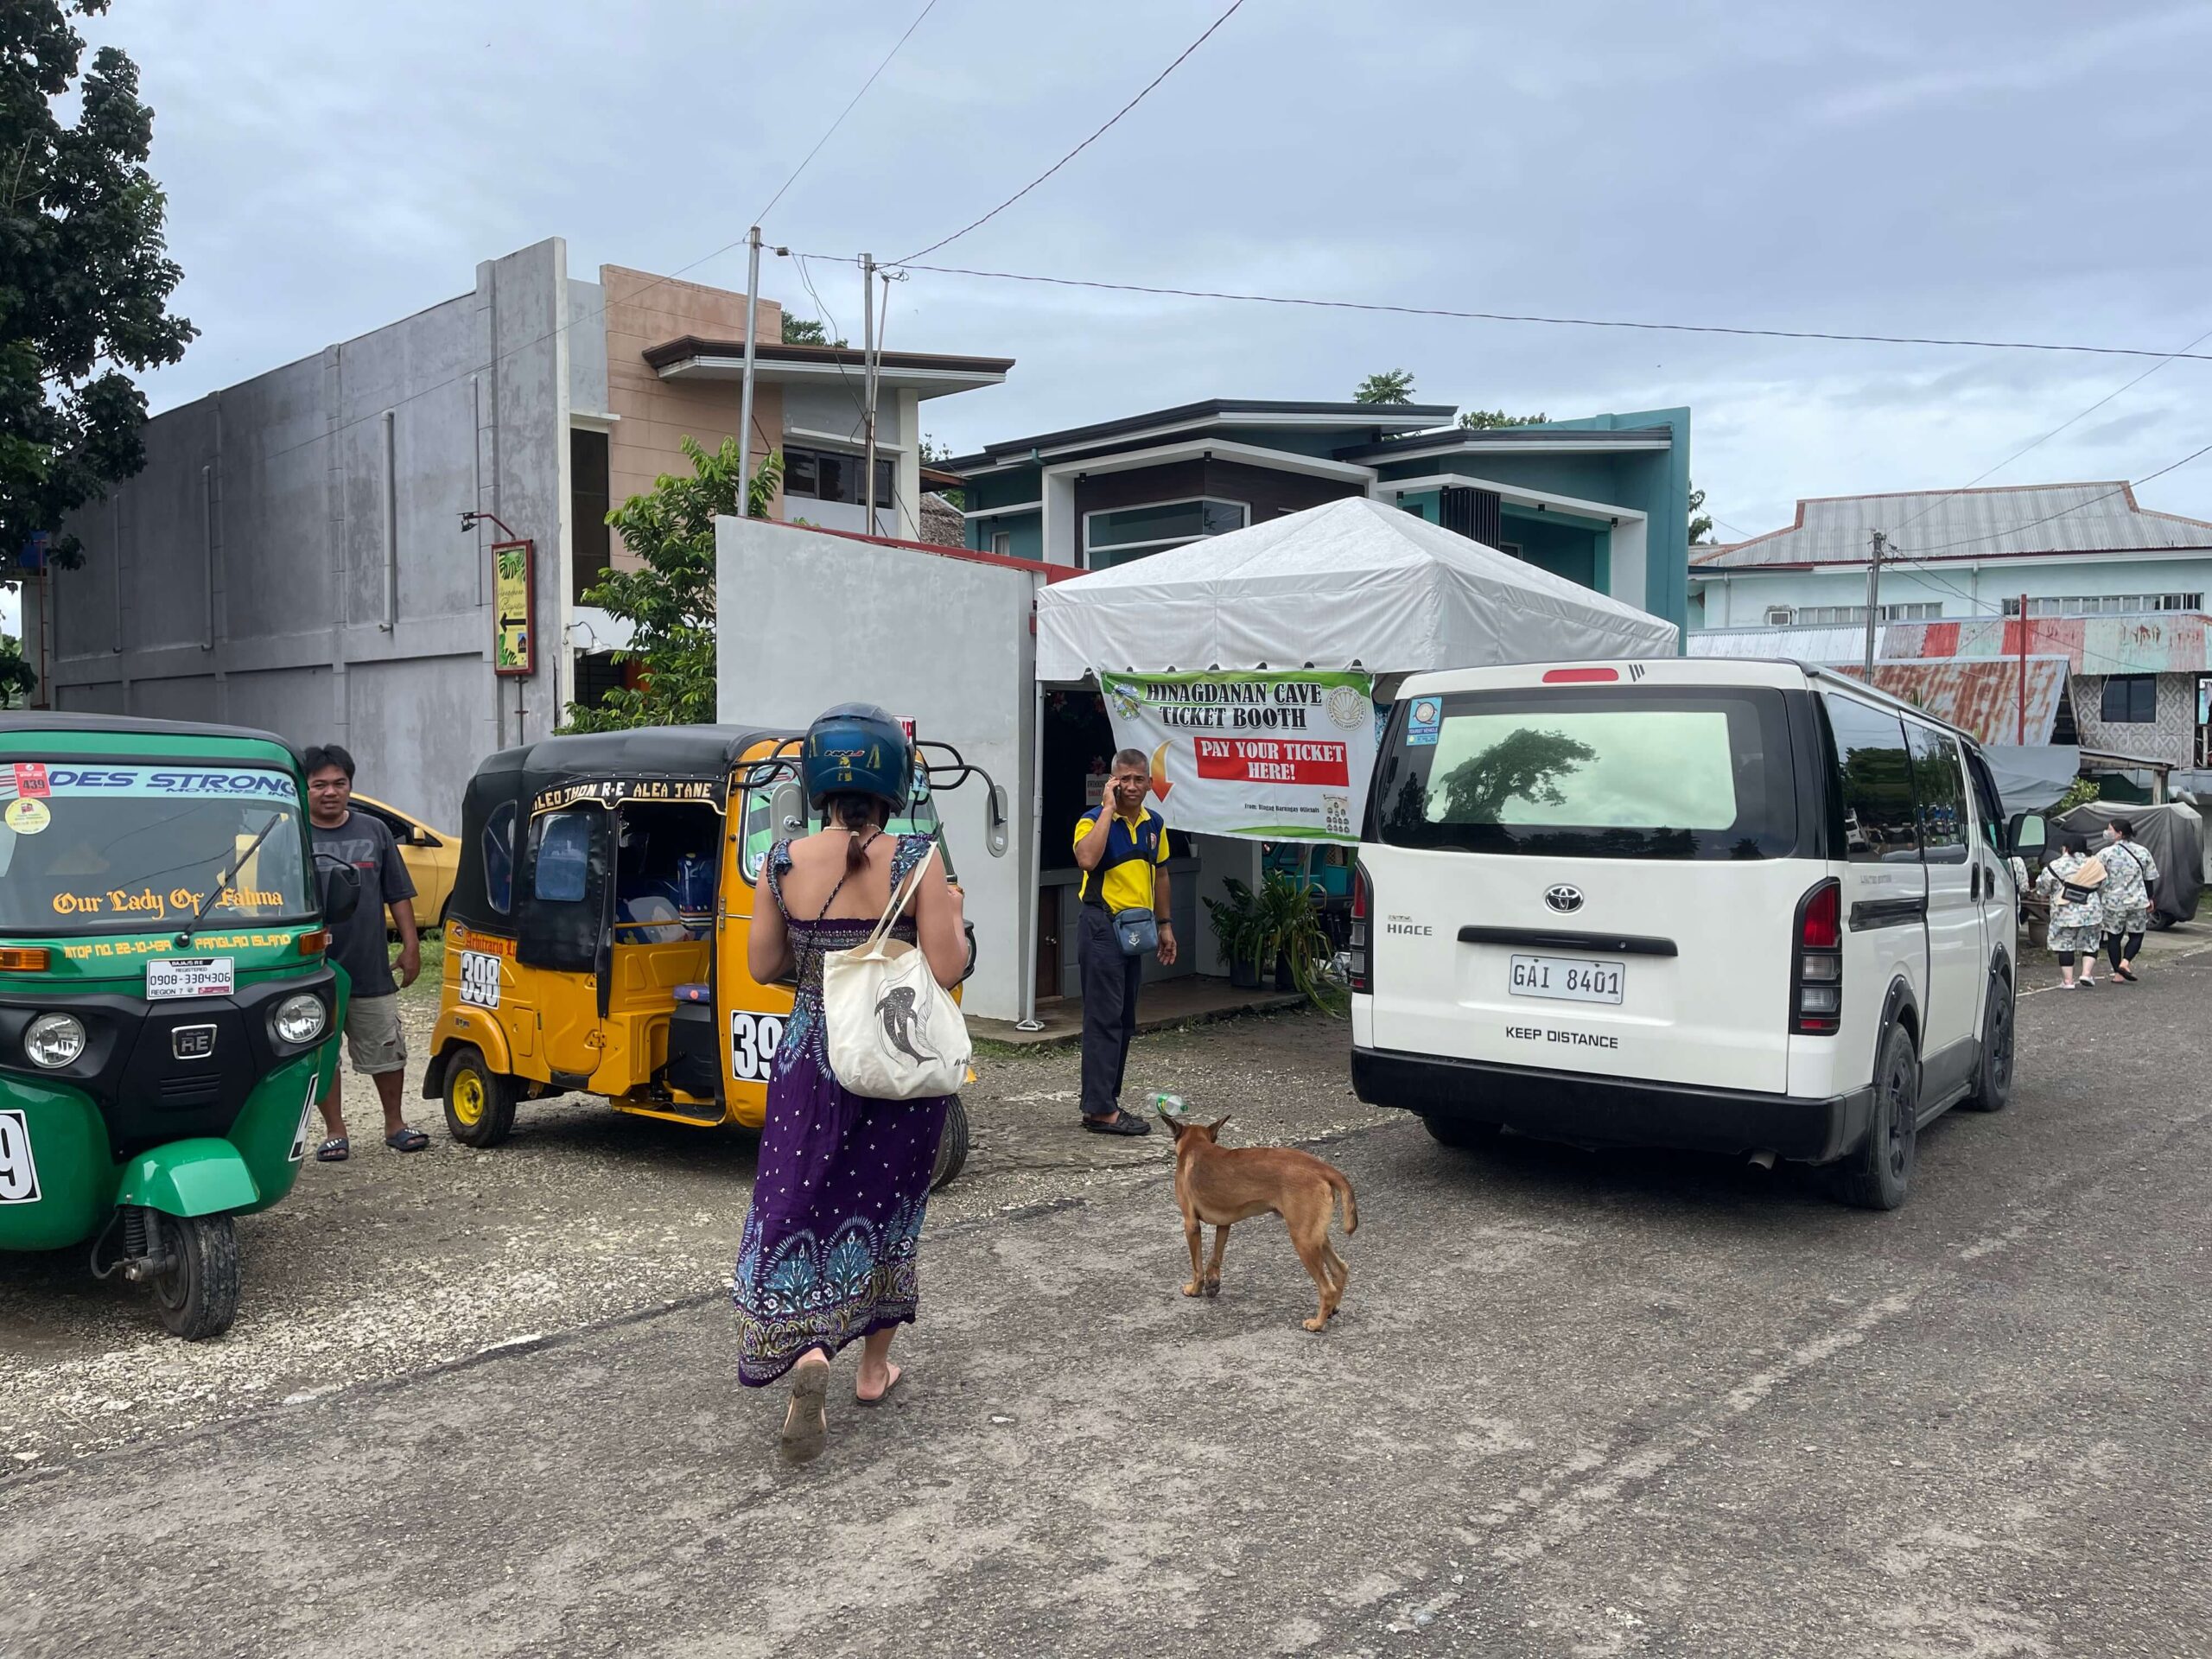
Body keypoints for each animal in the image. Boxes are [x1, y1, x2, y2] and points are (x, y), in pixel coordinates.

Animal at [1167, 1110, 1353, 1336]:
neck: (1196, 1144)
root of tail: (1323, 1168)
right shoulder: (1225, 1223)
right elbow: (1216, 1256)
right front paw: (1213, 1282)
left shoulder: (1191, 1225)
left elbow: (1197, 1266)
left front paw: (1195, 1289)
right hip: (1315, 1235)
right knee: (1340, 1269)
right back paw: (1333, 1309)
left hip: (1303, 1240)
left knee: (1327, 1288)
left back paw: (1317, 1323)